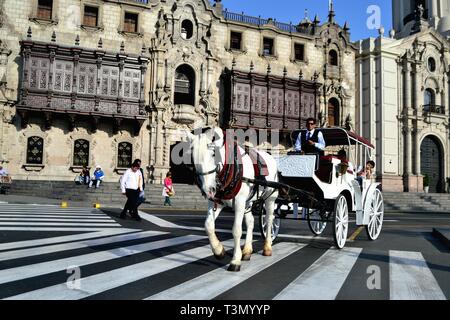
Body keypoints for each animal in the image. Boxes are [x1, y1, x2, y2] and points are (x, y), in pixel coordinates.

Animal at [185, 127, 278, 272]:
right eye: (192, 157)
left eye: (214, 154)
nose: (208, 190)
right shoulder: (216, 201)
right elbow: (208, 225)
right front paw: (218, 250)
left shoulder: (239, 202)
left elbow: (236, 230)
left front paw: (235, 260)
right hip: (248, 202)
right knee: (250, 222)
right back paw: (247, 251)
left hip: (270, 198)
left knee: (269, 220)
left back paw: (267, 247)